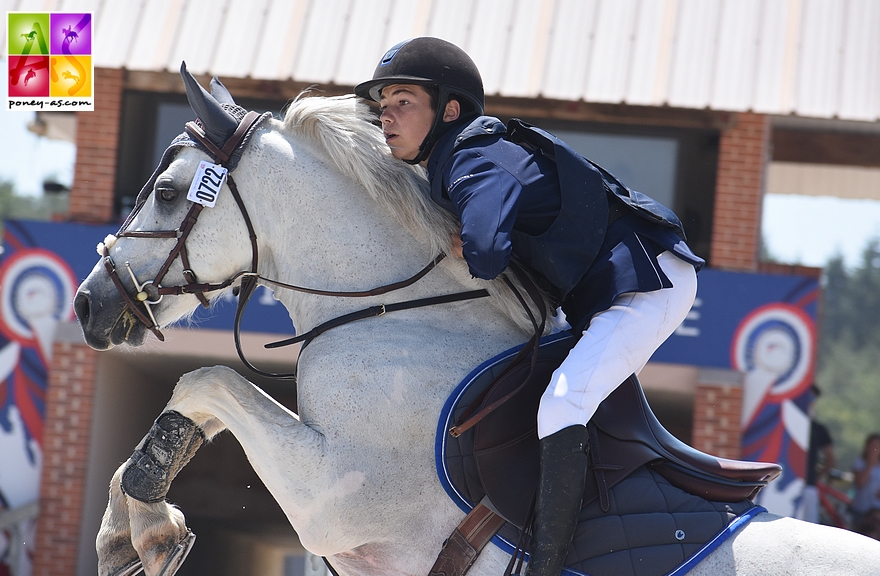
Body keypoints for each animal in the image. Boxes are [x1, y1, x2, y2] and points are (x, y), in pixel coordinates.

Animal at [74, 72, 880, 576]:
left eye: (169, 193)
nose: (88, 304)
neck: (396, 317)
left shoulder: (335, 495)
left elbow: (207, 379)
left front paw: (144, 530)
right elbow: (198, 400)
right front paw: (128, 537)